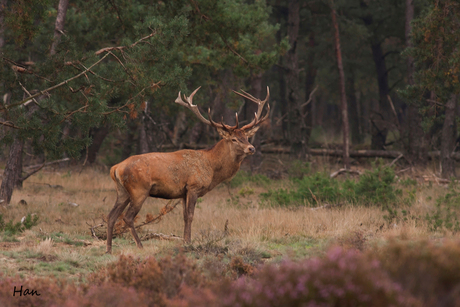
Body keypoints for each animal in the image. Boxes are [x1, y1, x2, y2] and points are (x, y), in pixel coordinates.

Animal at [105, 86, 268, 253]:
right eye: (234, 139)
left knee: (111, 215)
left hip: (122, 191)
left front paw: (184, 240)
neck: (212, 168)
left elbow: (184, 216)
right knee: (127, 217)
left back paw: (109, 249)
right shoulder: (193, 186)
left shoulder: (183, 192)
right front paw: (189, 242)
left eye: (246, 137)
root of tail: (115, 168)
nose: (251, 148)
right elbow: (190, 215)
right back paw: (140, 245)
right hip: (139, 190)